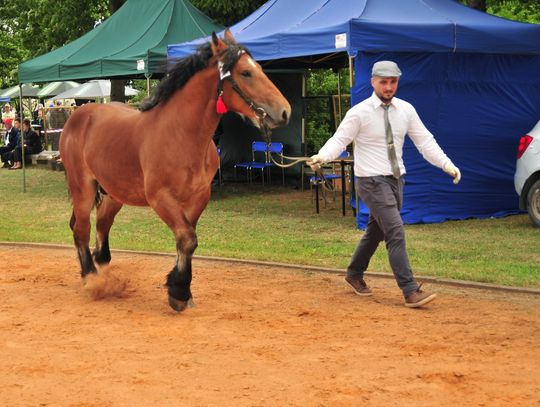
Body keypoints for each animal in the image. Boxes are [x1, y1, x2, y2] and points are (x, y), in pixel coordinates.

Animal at [60, 31, 292, 312]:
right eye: (246, 73)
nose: (284, 112)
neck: (181, 134)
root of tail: (79, 114)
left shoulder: (198, 198)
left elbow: (186, 241)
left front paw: (182, 289)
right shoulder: (160, 198)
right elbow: (188, 238)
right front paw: (178, 291)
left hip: (114, 194)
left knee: (102, 226)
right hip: (82, 187)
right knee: (81, 229)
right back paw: (91, 278)